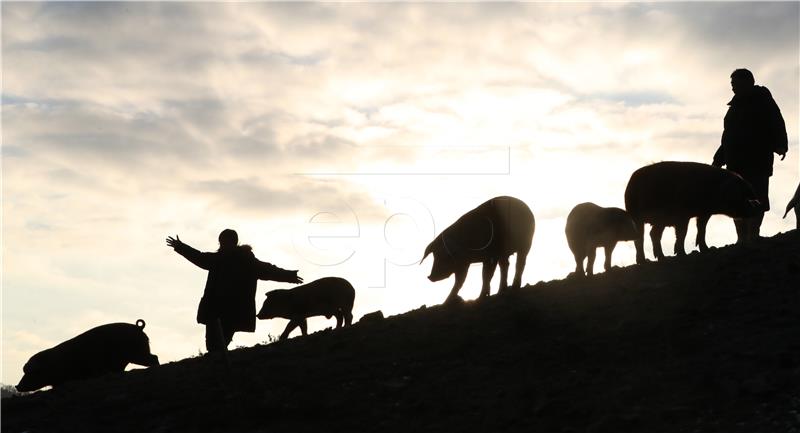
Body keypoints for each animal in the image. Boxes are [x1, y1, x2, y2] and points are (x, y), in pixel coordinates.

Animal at [16, 318, 159, 392]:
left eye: (31, 372)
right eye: (24, 371)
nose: (17, 386)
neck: (50, 365)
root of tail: (139, 327)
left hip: (137, 354)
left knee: (154, 358)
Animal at [620, 161, 760, 264]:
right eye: (743, 196)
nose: (758, 205)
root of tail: (630, 183)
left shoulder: (704, 213)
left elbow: (702, 229)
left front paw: (706, 249)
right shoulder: (683, 215)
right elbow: (682, 233)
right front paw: (682, 254)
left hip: (660, 221)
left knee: (653, 234)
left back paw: (662, 258)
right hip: (636, 216)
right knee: (640, 238)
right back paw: (644, 261)